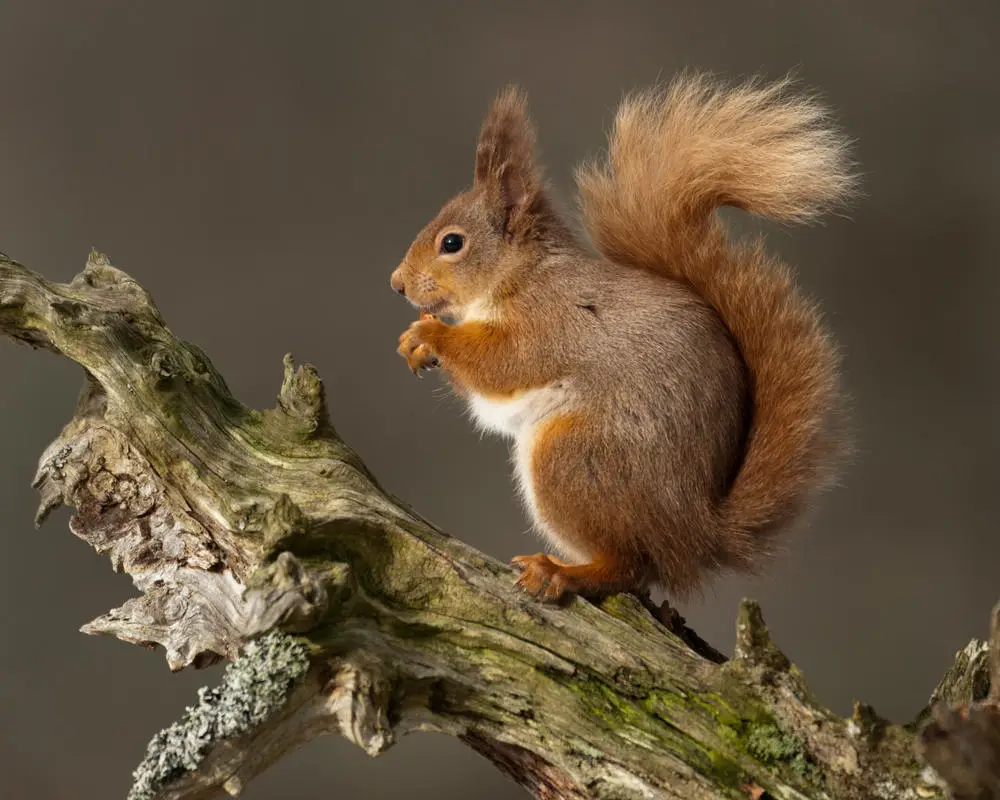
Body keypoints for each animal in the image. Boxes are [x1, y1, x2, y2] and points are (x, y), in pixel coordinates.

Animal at [388, 73, 852, 600]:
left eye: (452, 243)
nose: (397, 283)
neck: (522, 274)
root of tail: (694, 534)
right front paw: (411, 342)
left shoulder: (553, 320)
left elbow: (504, 364)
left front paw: (430, 332)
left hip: (574, 458)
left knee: (630, 566)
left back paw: (562, 572)